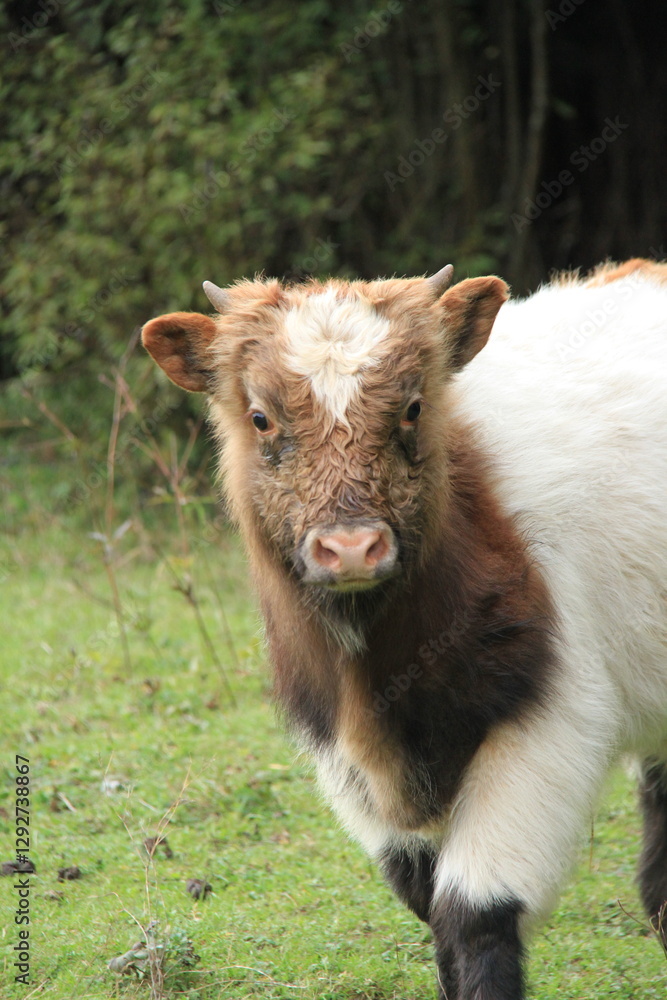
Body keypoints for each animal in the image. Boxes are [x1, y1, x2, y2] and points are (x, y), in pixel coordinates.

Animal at [141, 258, 667, 999]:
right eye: (261, 417)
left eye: (413, 407)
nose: (352, 548)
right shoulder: (341, 751)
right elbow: (425, 902)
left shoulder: (552, 716)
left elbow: (473, 915)